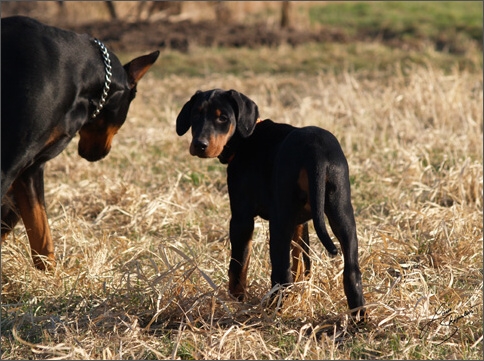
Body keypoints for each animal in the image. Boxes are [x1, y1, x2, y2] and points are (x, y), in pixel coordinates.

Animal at [176, 88, 364, 316]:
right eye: (196, 114)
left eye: (223, 118)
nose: (200, 145)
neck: (246, 140)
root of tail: (315, 154)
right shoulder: (300, 222)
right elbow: (300, 260)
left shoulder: (241, 218)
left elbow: (238, 265)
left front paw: (236, 301)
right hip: (342, 213)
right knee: (351, 273)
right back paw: (359, 317)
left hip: (279, 222)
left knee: (281, 274)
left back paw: (271, 310)